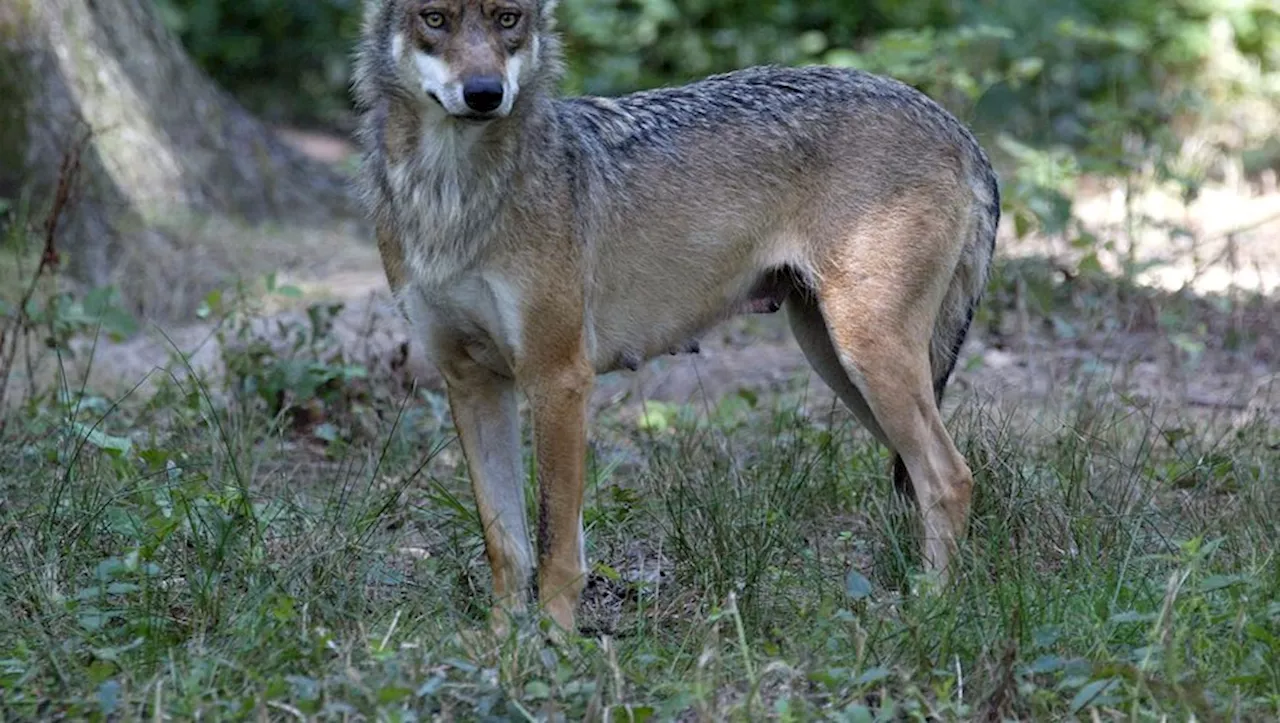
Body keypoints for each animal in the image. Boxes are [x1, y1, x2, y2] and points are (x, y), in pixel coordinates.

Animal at [350, 0, 998, 632]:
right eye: (435, 19)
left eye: (507, 19)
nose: (485, 93)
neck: (451, 197)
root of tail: (958, 128)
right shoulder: (472, 382)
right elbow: (506, 545)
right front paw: (501, 647)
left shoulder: (558, 380)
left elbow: (556, 548)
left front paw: (555, 651)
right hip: (840, 365)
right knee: (925, 476)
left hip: (867, 359)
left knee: (951, 477)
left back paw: (931, 609)